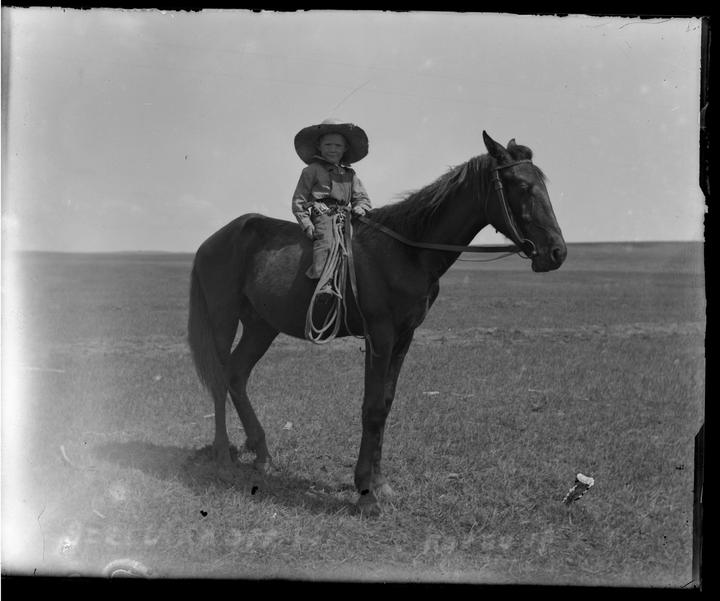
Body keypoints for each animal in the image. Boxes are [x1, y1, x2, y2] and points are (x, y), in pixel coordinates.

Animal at [187, 131, 567, 515]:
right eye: (522, 185)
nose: (557, 252)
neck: (408, 251)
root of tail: (210, 242)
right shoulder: (380, 334)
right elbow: (371, 408)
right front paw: (366, 493)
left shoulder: (404, 336)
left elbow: (384, 404)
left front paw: (379, 484)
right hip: (223, 319)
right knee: (220, 378)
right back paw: (223, 454)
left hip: (261, 325)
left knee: (237, 374)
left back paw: (261, 453)